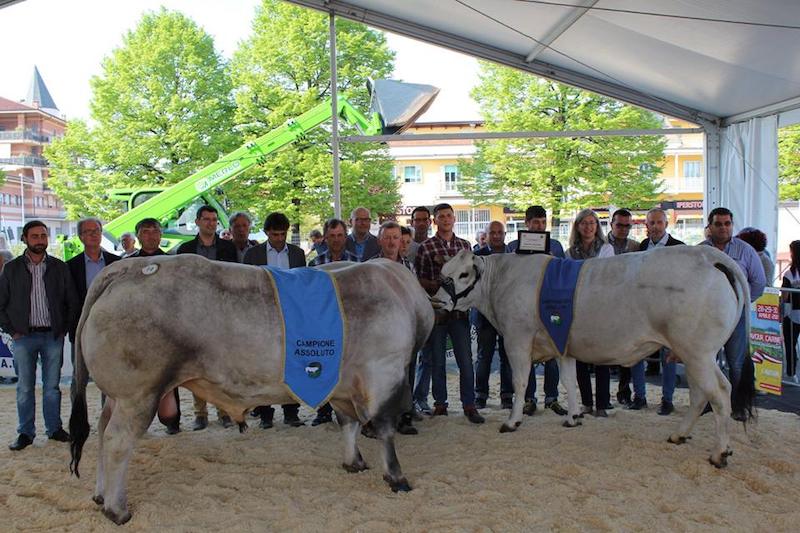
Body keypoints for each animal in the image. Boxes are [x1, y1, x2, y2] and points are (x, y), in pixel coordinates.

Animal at [68, 255, 432, 524]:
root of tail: (128, 267)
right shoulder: (384, 371)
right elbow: (384, 429)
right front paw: (397, 478)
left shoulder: (344, 383)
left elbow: (349, 423)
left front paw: (353, 462)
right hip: (139, 394)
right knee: (118, 441)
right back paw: (117, 509)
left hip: (118, 396)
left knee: (101, 430)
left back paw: (100, 495)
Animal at [434, 245, 752, 466]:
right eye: (442, 273)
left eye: (463, 275)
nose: (436, 301)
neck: (501, 283)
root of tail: (706, 253)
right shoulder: (561, 343)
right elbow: (569, 381)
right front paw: (573, 417)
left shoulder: (517, 339)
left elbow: (521, 382)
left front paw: (512, 422)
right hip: (696, 354)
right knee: (703, 394)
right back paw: (680, 435)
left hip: (697, 352)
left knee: (718, 394)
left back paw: (719, 454)